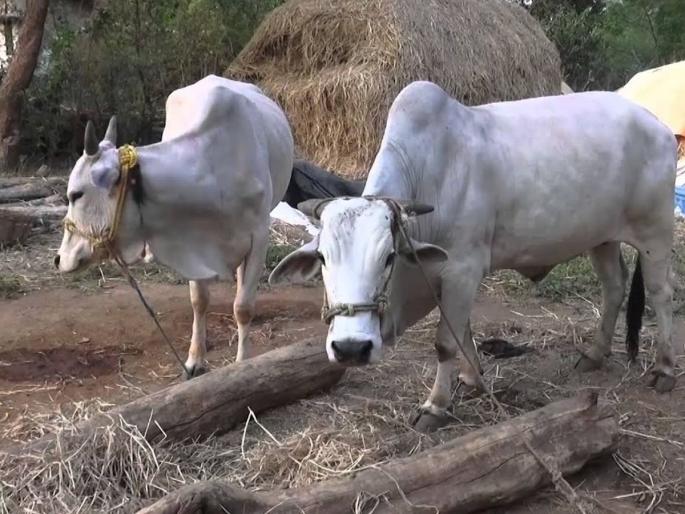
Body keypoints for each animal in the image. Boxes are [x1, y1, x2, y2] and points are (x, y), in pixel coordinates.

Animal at [55, 75, 294, 378]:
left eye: (75, 194)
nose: (59, 259)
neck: (211, 172)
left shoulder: (260, 238)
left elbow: (243, 307)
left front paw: (242, 364)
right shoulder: (191, 240)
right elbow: (199, 301)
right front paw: (194, 360)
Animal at [270, 81, 678, 429]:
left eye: (388, 257)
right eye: (323, 258)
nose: (351, 348)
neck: (430, 170)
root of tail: (656, 124)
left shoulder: (462, 269)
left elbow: (444, 342)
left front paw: (435, 406)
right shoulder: (449, 277)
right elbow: (461, 330)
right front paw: (471, 377)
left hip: (654, 233)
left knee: (662, 294)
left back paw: (664, 368)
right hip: (602, 238)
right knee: (614, 287)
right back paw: (595, 353)